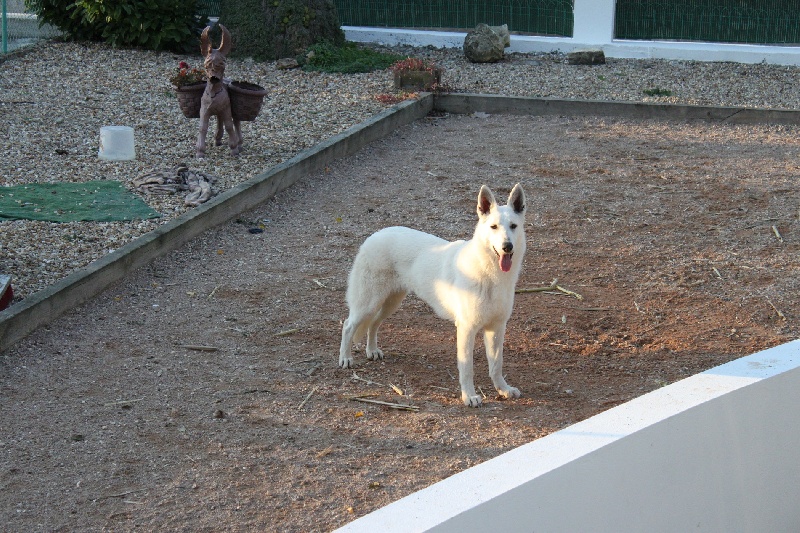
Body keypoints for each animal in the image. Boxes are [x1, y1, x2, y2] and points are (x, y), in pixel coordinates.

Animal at [336, 181, 524, 406]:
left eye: (513, 226)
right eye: (493, 227)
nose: (507, 247)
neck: (489, 273)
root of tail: (375, 235)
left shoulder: (496, 328)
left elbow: (496, 365)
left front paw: (503, 389)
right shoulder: (466, 329)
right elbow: (467, 368)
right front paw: (469, 396)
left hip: (391, 303)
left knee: (374, 324)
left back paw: (371, 350)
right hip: (369, 302)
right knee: (348, 325)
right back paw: (345, 358)